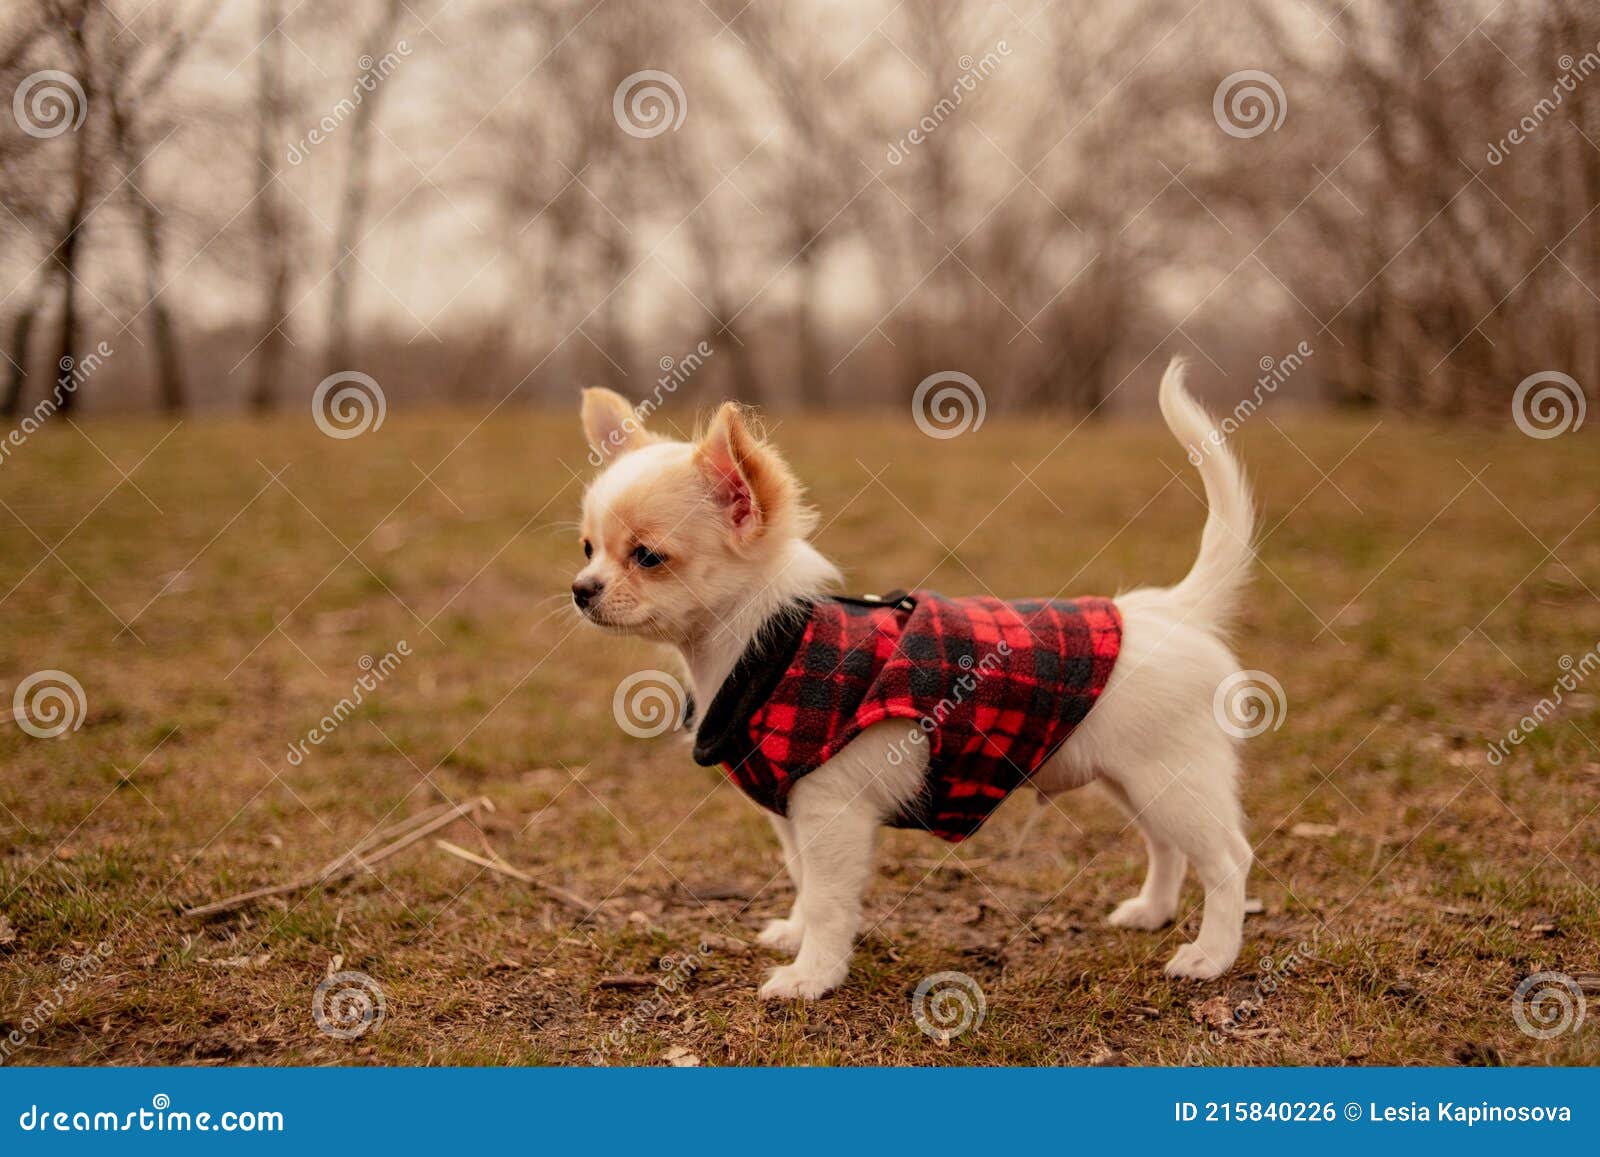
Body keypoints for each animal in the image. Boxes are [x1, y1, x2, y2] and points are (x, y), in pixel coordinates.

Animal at [569, 356, 1254, 998]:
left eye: (648, 557)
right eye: (587, 549)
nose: (581, 589)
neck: (764, 646)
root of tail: (1172, 608)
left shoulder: (831, 813)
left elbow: (829, 901)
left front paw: (811, 976)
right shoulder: (794, 814)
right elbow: (802, 879)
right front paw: (795, 934)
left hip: (1172, 777)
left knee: (1227, 859)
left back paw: (1210, 956)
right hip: (1133, 779)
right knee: (1166, 847)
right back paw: (1152, 912)